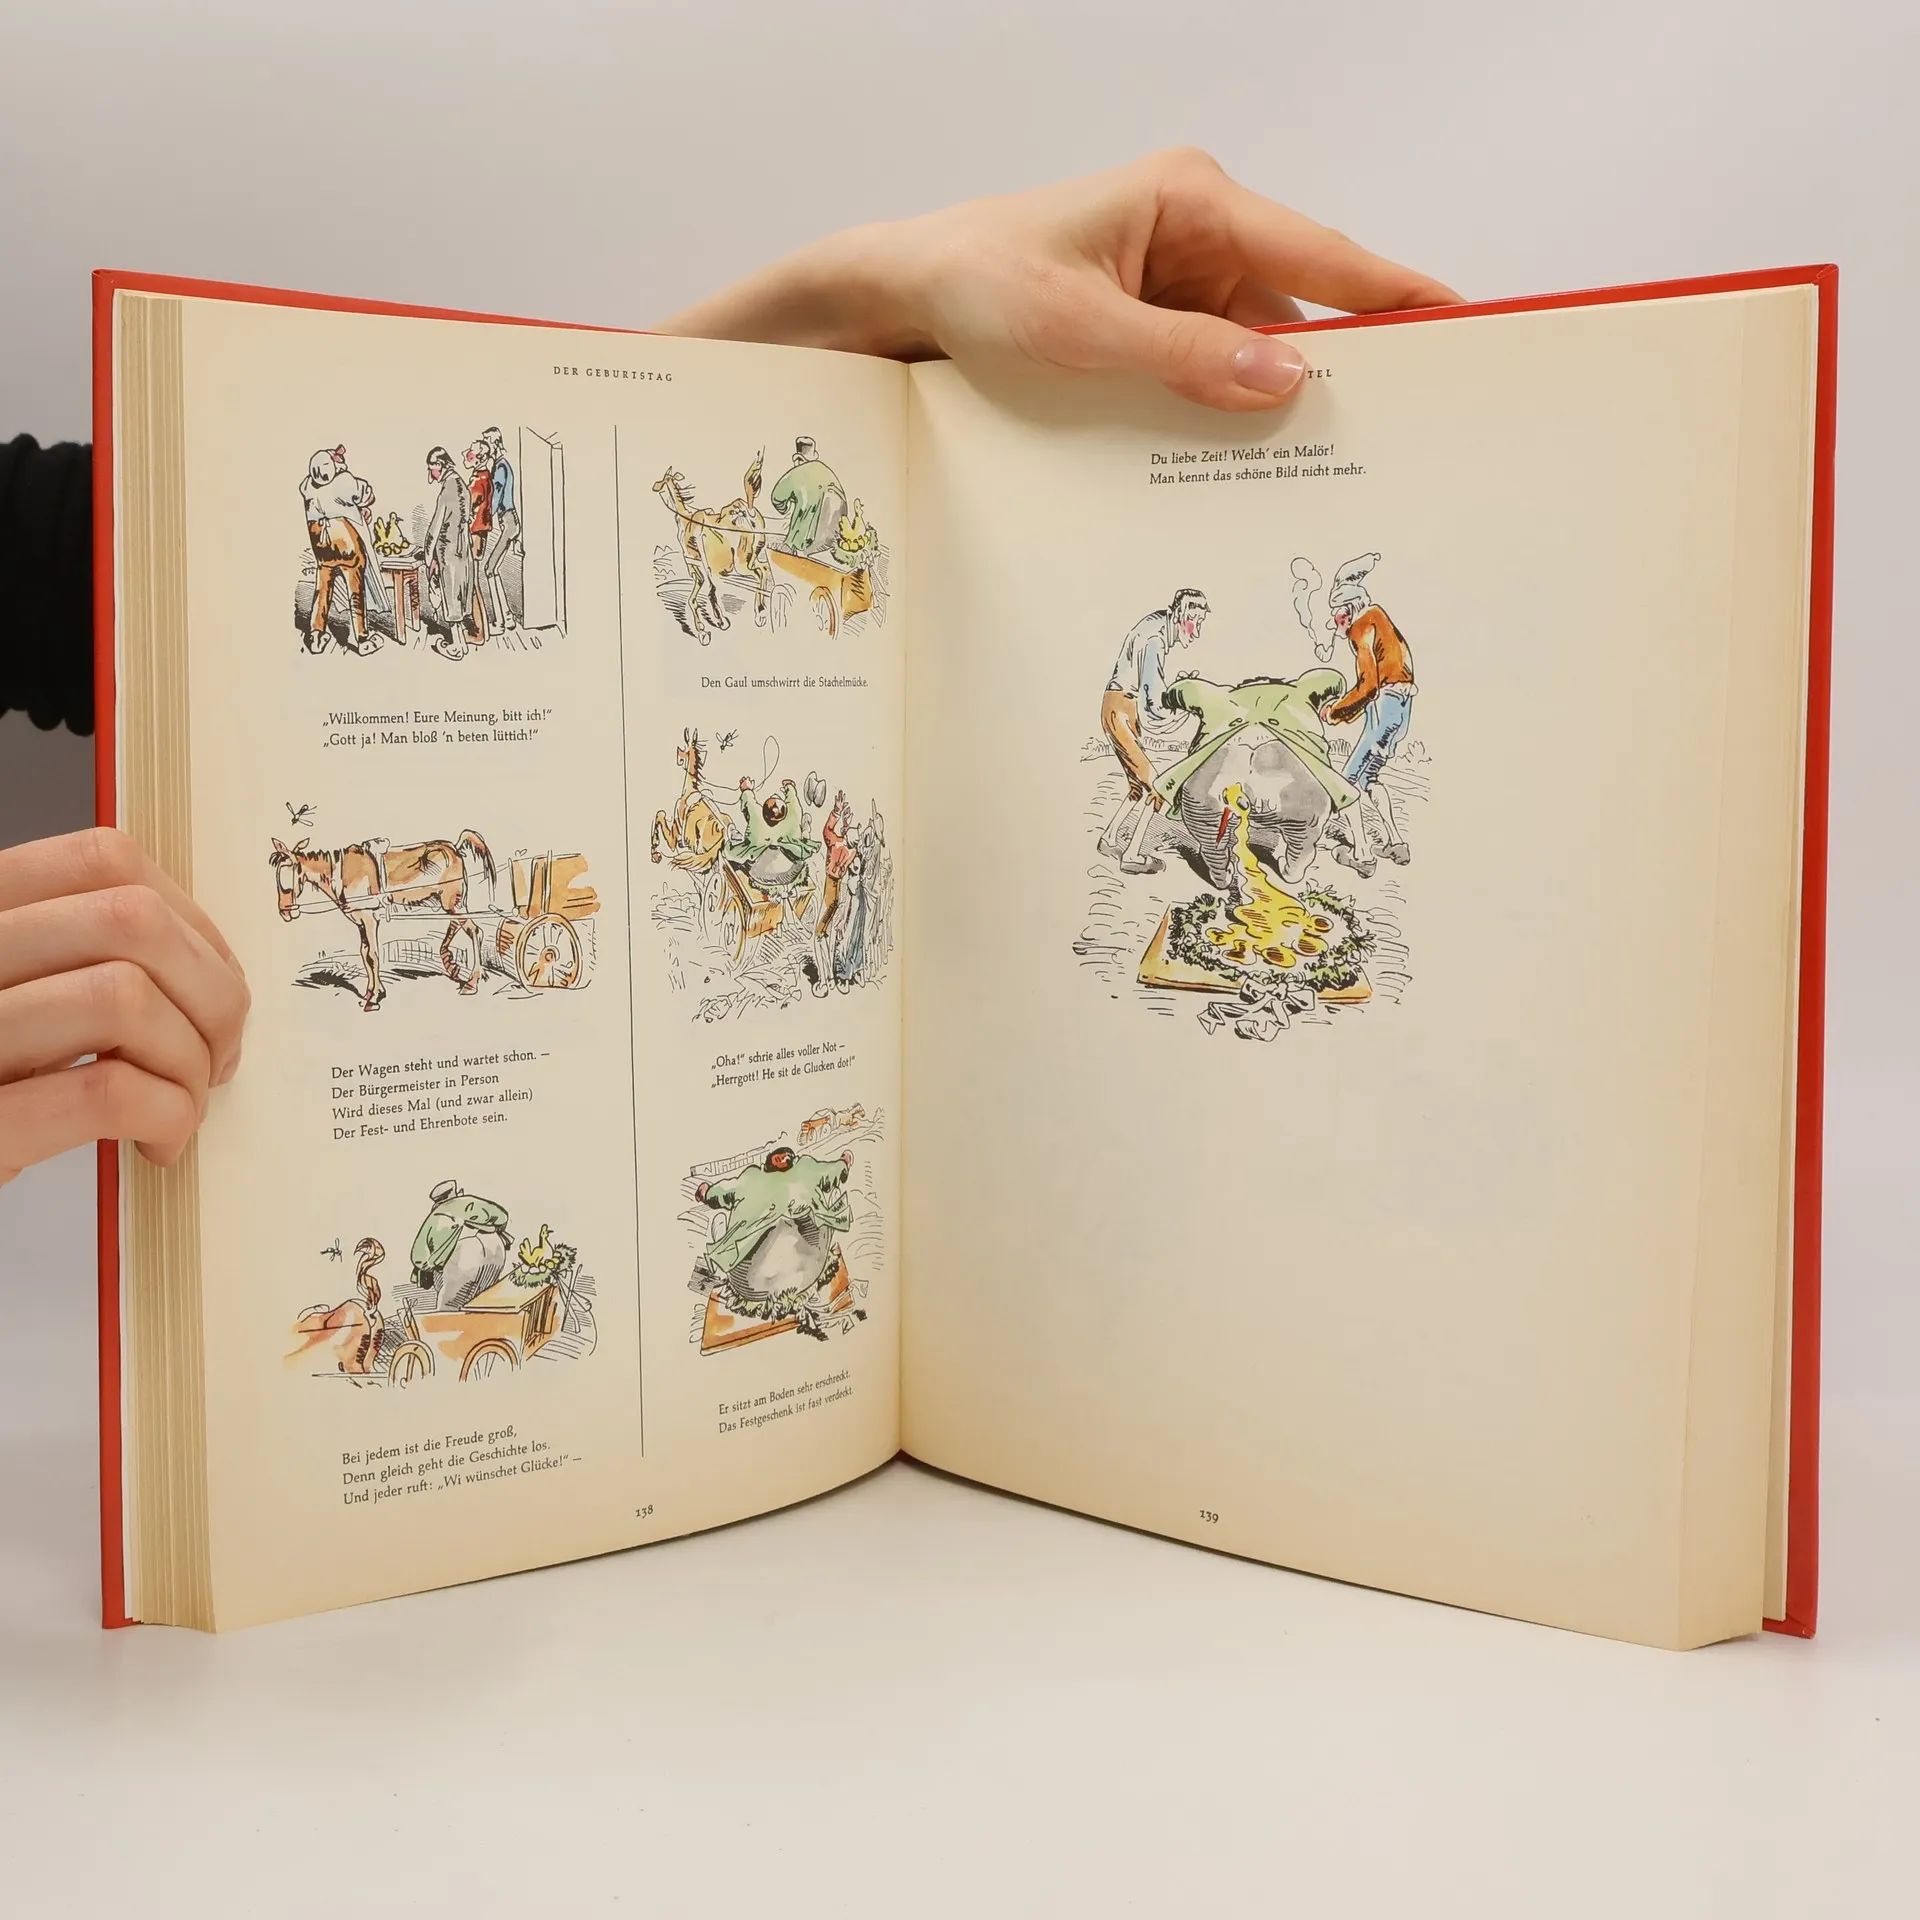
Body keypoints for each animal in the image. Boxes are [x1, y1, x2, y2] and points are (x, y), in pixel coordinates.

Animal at [269, 830, 496, 1011]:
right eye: (277, 875)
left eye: (291, 873)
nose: (285, 912)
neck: (343, 872)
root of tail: (455, 848)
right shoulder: (360, 921)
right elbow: (364, 954)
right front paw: (369, 993)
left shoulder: (369, 918)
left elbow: (373, 955)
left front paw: (374, 998)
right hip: (451, 903)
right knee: (459, 925)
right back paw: (450, 964)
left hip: (452, 903)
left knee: (474, 931)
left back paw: (471, 983)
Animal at [654, 454, 772, 642]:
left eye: (663, 481)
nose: (656, 489)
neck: (686, 519)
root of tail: (749, 510)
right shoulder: (698, 567)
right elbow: (695, 597)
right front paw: (704, 630)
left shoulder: (696, 563)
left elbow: (709, 592)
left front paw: (714, 626)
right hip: (752, 557)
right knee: (765, 569)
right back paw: (761, 612)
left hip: (741, 564)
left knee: (759, 573)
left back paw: (759, 613)